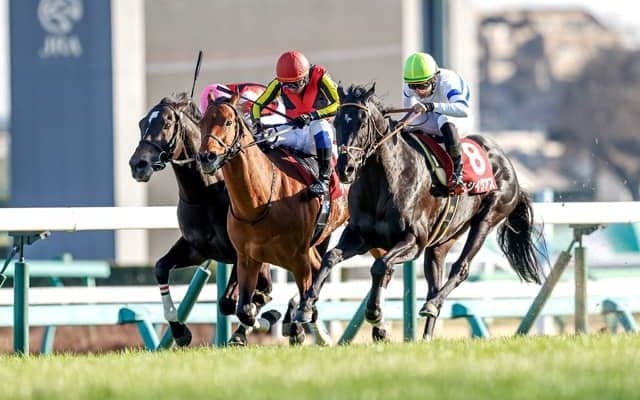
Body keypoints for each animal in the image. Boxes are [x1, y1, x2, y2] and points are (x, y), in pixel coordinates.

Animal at [128, 92, 276, 346]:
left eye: (166, 124)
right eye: (141, 123)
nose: (138, 165)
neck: (206, 193)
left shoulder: (242, 253)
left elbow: (231, 301)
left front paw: (256, 320)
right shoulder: (197, 249)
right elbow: (160, 268)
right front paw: (180, 331)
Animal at [197, 96, 350, 344]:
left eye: (228, 122)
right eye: (201, 123)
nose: (206, 157)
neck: (258, 203)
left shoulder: (298, 258)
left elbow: (304, 294)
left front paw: (290, 320)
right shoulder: (247, 259)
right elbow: (244, 310)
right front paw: (262, 319)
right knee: (320, 266)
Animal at [298, 83, 544, 341]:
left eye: (363, 121)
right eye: (336, 121)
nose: (345, 168)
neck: (385, 179)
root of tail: (506, 164)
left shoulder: (413, 240)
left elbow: (380, 266)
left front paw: (375, 313)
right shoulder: (360, 236)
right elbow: (330, 257)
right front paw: (305, 308)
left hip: (487, 218)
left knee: (461, 268)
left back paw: (433, 304)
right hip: (443, 239)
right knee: (434, 281)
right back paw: (427, 331)